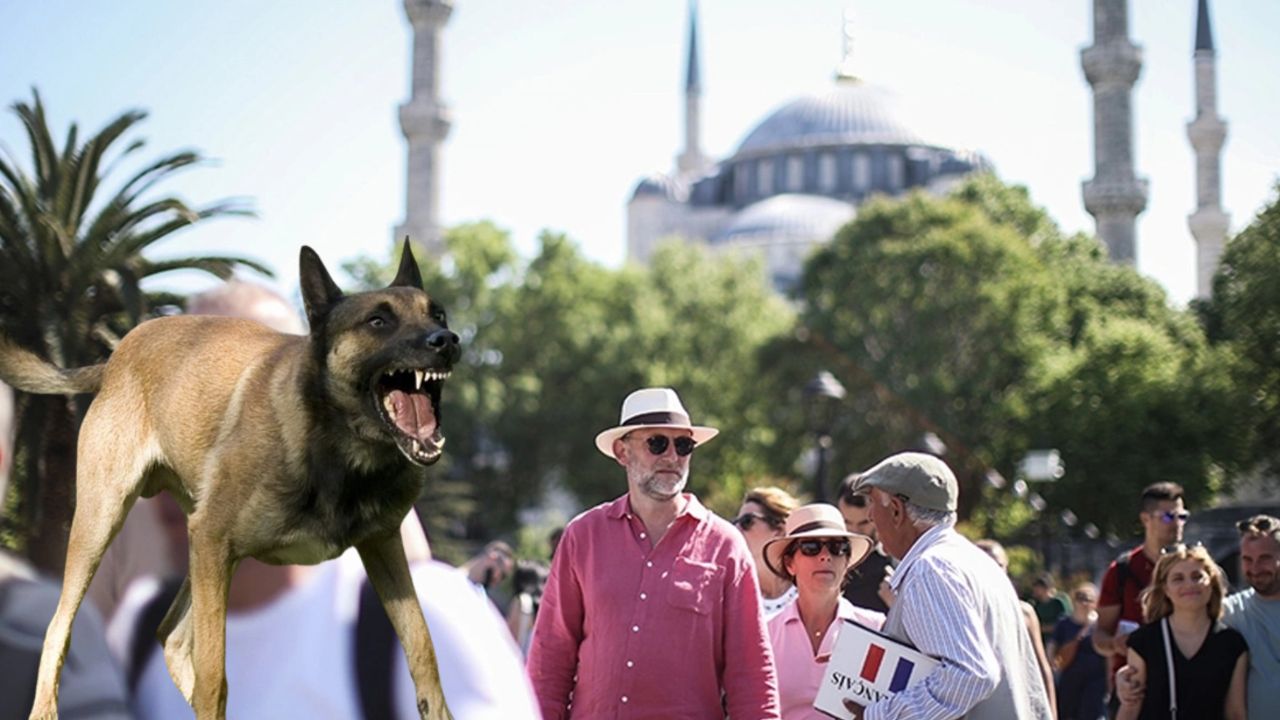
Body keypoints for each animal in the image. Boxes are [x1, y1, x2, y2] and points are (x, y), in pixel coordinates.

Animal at [0, 240, 460, 717]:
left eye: (438, 314)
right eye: (377, 321)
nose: (446, 341)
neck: (339, 448)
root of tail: (116, 356)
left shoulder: (382, 546)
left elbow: (423, 652)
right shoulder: (211, 539)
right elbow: (213, 677)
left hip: (206, 551)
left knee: (171, 634)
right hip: (105, 523)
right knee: (61, 625)